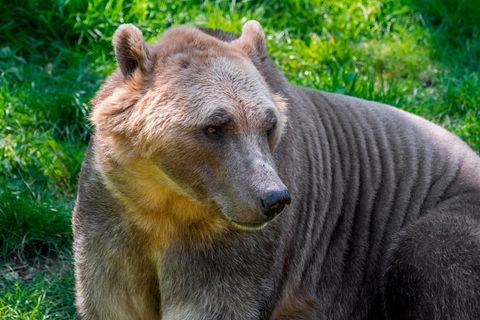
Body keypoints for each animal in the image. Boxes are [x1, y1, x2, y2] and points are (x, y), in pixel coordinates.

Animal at [73, 21, 480, 318]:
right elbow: (110, 301)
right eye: (215, 126)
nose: (273, 199)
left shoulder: (236, 253)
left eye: (268, 125)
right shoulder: (111, 218)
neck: (166, 202)